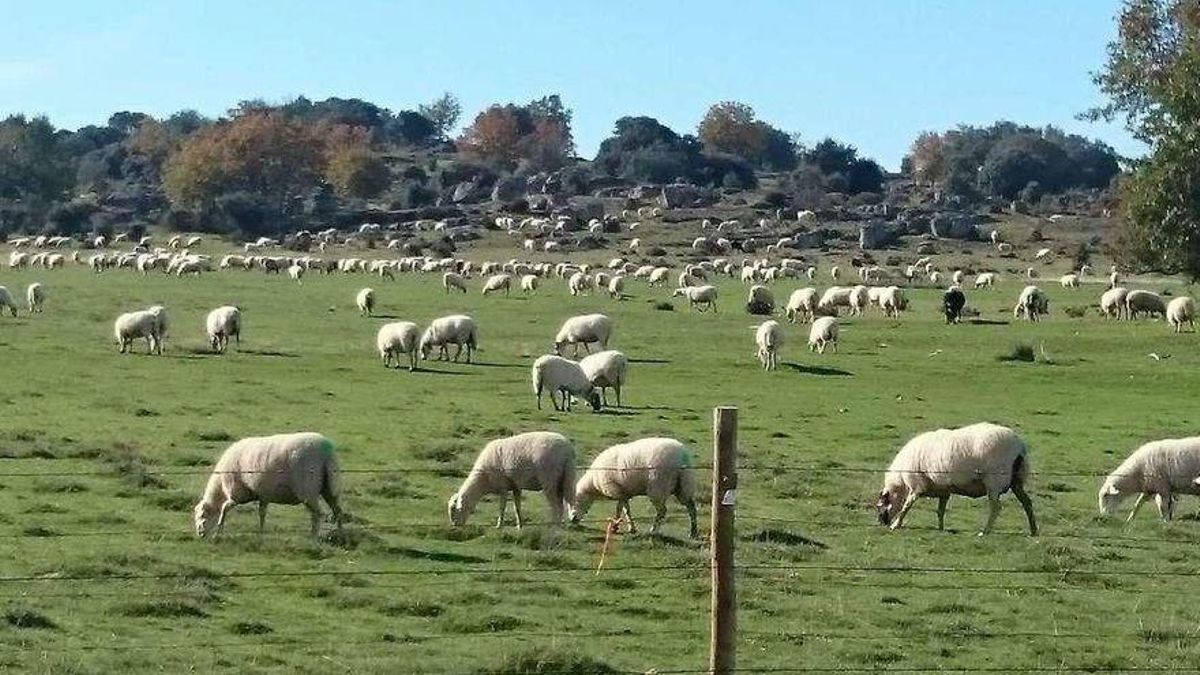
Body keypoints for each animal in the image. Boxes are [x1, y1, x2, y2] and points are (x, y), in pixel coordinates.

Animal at [192, 429, 343, 535]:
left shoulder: (237, 493)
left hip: (307, 489)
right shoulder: (263, 494)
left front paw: (218, 531)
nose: (200, 534)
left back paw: (314, 537)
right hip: (330, 486)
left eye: (202, 516)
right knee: (337, 510)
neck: (220, 486)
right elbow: (262, 513)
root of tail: (326, 452)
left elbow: (224, 508)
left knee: (318, 513)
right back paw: (341, 534)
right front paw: (261, 531)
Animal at [451, 429, 580, 526]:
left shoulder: (503, 486)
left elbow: (502, 507)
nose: (455, 526)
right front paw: (519, 525)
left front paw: (499, 525)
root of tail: (567, 451)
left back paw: (555, 525)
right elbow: (517, 507)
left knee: (556, 505)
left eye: (454, 510)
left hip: (549, 480)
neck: (483, 480)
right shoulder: (515, 486)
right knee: (562, 502)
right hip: (564, 478)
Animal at [878, 420, 1036, 535]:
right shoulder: (943, 490)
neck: (900, 482)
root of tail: (1019, 446)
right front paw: (941, 528)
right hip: (1017, 480)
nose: (880, 522)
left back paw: (985, 531)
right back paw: (1034, 530)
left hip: (994, 481)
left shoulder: (917, 487)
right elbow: (940, 511)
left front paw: (895, 525)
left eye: (882, 504)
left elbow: (906, 507)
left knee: (996, 507)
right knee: (1027, 503)